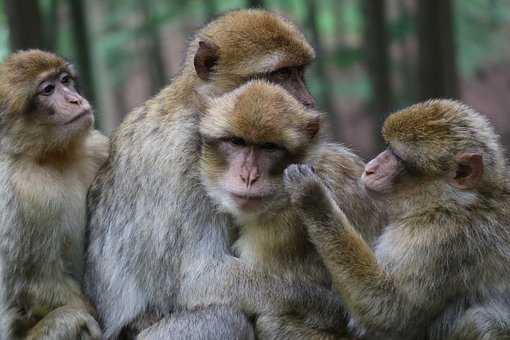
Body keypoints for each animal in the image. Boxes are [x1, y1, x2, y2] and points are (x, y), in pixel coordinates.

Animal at [0, 50, 107, 340]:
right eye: (48, 90)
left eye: (65, 80)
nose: (75, 99)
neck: (51, 156)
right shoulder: (27, 192)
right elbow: (37, 284)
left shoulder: (95, 147)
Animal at [84, 8, 362, 340]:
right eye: (279, 75)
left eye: (298, 72)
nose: (308, 104)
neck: (195, 105)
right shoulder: (187, 160)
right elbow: (200, 278)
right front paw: (327, 304)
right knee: (224, 317)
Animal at [284, 99, 510, 340]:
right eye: (387, 148)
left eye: (397, 156)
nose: (370, 169)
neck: (457, 201)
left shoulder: (434, 238)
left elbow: (390, 312)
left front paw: (314, 197)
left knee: (481, 319)